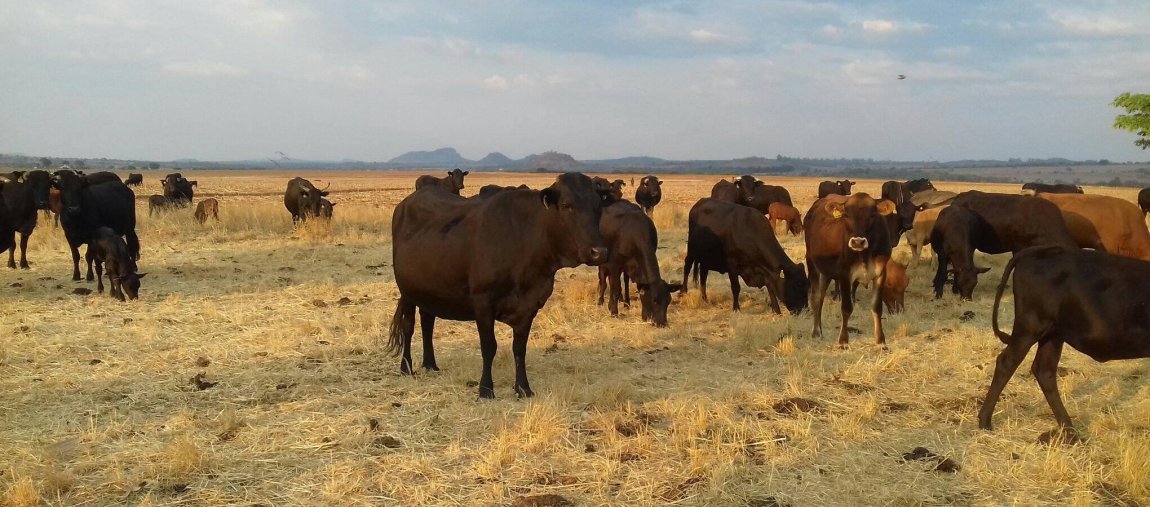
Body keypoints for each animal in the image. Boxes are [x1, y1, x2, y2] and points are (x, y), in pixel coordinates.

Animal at [388, 173, 608, 399]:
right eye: (566, 204)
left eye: (598, 206)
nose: (599, 252)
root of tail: (407, 202)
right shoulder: (483, 301)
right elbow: (489, 346)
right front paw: (486, 389)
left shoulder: (530, 305)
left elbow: (519, 348)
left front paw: (523, 387)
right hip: (406, 291)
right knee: (408, 326)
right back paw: (406, 367)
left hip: (429, 290)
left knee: (427, 322)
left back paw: (430, 364)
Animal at [681, 198, 809, 314]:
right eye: (797, 284)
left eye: (806, 284)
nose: (805, 309)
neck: (750, 233)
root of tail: (699, 203)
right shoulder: (732, 265)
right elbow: (736, 287)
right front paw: (736, 308)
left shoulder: (764, 270)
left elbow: (770, 287)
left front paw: (776, 309)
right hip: (691, 250)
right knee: (687, 267)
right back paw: (683, 291)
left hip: (706, 259)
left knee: (703, 275)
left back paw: (705, 298)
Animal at [805, 193, 895, 347]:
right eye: (846, 215)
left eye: (872, 215)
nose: (858, 242)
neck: (864, 255)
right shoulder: (844, 275)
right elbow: (846, 308)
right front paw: (843, 340)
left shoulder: (880, 273)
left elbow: (877, 307)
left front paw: (880, 340)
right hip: (811, 262)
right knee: (816, 297)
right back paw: (816, 331)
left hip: (826, 272)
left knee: (821, 297)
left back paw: (820, 330)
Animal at [980, 245, 1150, 438]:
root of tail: (1037, 250)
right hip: (1030, 326)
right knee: (1007, 362)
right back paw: (985, 421)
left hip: (1053, 335)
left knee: (1044, 370)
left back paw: (1069, 429)